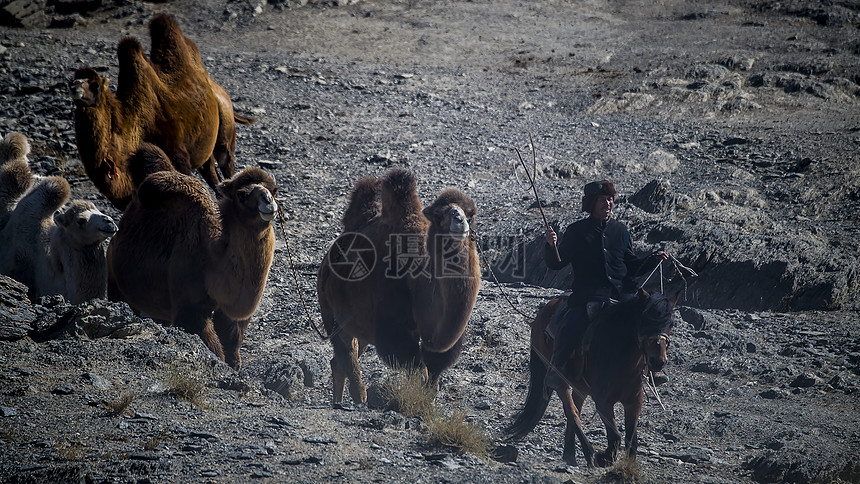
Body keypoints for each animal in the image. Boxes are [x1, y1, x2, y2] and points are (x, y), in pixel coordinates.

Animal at [71, 12, 252, 210]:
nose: (75, 88)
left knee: (226, 164)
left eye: (95, 85)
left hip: (225, 127)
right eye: (72, 80)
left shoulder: (177, 156)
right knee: (212, 175)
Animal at [106, 147, 278, 366]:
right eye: (242, 195)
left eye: (273, 190)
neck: (212, 258)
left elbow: (231, 339)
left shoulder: (229, 314)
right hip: (114, 281)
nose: (268, 201)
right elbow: (212, 346)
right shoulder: (190, 309)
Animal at [316, 166, 480, 404]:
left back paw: (339, 400)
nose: (460, 220)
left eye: (471, 214)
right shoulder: (394, 325)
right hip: (329, 311)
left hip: (360, 326)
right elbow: (417, 369)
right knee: (346, 354)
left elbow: (433, 373)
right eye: (439, 214)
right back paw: (357, 399)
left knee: (341, 358)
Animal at [504, 290, 680, 466]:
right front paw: (604, 458)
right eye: (644, 320)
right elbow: (615, 435)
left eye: (671, 323)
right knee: (571, 410)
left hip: (580, 387)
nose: (658, 361)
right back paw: (588, 452)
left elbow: (631, 440)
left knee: (576, 408)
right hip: (560, 379)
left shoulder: (635, 402)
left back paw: (571, 455)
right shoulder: (603, 402)